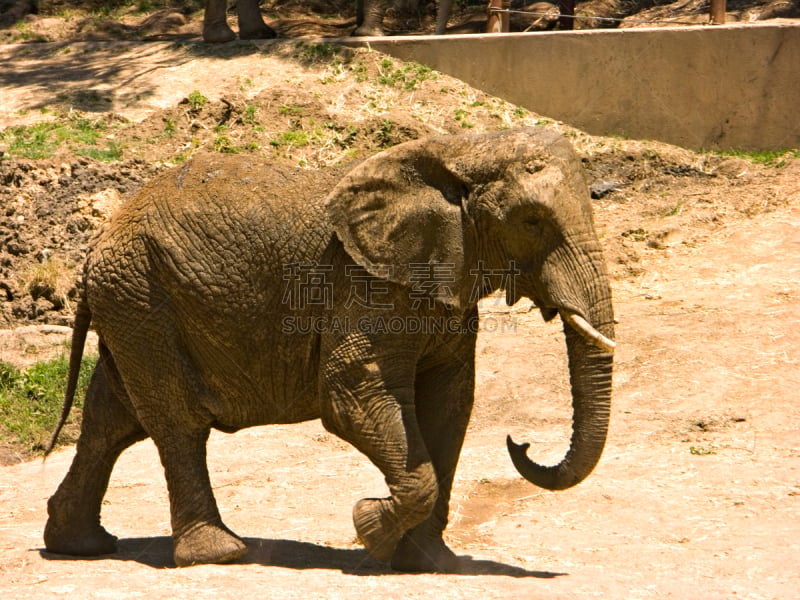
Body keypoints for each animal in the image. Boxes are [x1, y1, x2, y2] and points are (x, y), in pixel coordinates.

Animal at [43, 127, 616, 572]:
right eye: (532, 222)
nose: (520, 444)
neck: (455, 150)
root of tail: (96, 245)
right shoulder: (362, 285)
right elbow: (350, 395)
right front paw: (368, 528)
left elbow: (450, 402)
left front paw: (428, 563)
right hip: (141, 296)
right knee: (176, 421)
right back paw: (219, 554)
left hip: (134, 303)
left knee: (112, 418)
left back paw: (79, 545)